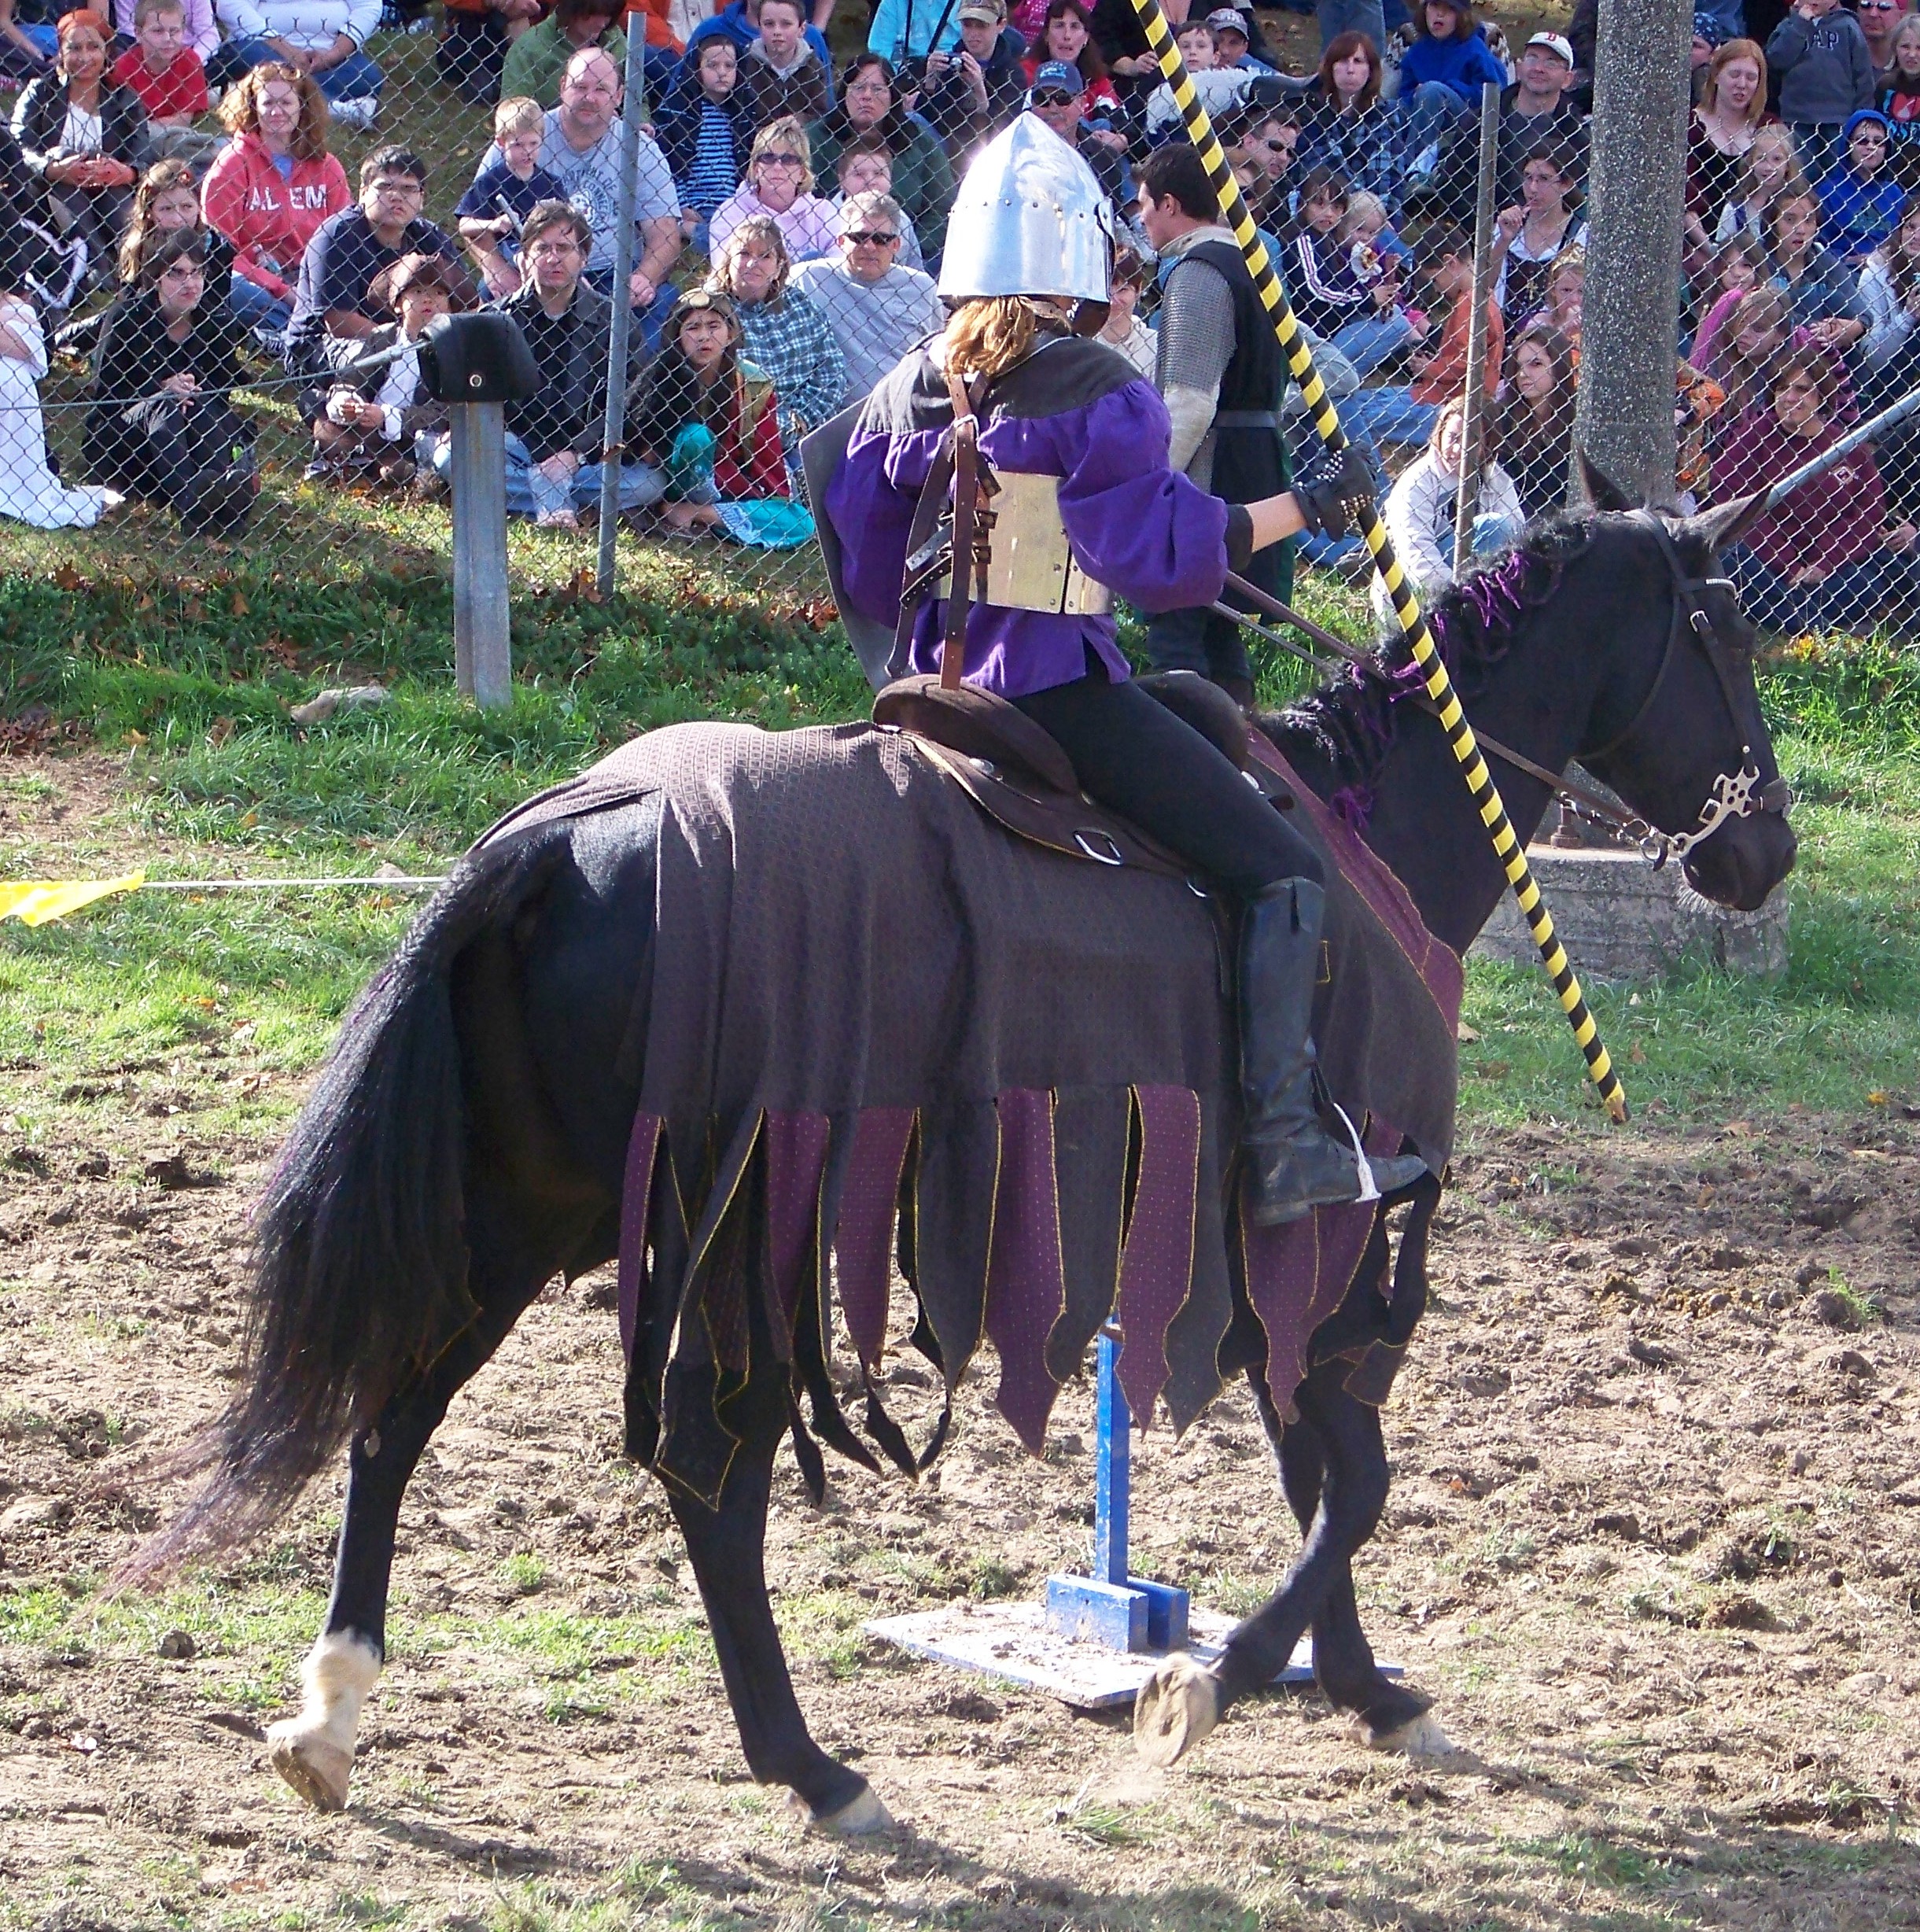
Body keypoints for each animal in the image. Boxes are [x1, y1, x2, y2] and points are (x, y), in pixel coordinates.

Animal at [135, 483, 1792, 1823]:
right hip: (722, 1229)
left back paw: (331, 1714)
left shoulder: (1260, 1257)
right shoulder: (1321, 1232)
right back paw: (812, 1769)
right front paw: (1220, 1684)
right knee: (709, 1474)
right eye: (1721, 632)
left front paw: (1362, 1685)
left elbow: (1317, 1468)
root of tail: (552, 841)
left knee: (395, 1414)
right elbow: (1357, 1477)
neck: (1362, 832)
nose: (1761, 850)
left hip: (521, 1209)